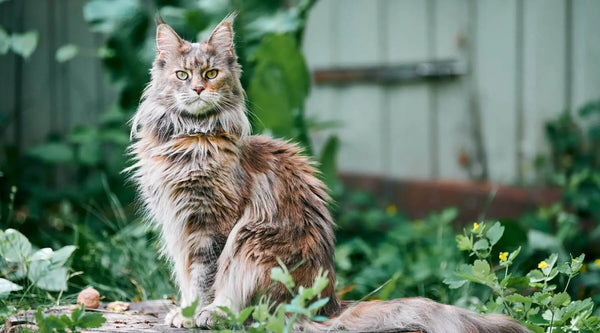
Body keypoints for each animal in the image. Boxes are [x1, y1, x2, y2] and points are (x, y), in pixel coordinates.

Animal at [127, 13, 528, 332]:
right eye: (182, 75)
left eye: (211, 74)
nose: (197, 88)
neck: (190, 138)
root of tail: (328, 306)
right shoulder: (178, 226)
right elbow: (188, 279)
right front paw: (183, 310)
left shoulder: (212, 226)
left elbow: (205, 279)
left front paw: (195, 314)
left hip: (251, 243)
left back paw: (219, 315)